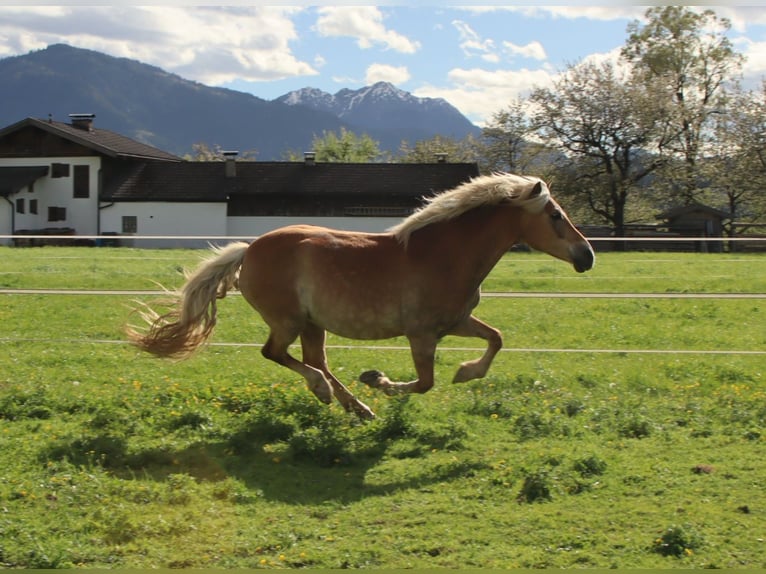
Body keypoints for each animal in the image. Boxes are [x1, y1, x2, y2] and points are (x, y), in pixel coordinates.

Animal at [126, 173, 596, 420]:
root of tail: (250, 248)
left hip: (312, 323)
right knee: (279, 355)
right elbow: (424, 383)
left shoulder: (457, 322)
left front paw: (466, 372)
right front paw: (379, 380)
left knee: (314, 359)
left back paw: (355, 407)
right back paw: (330, 394)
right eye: (556, 215)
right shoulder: (422, 334)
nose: (587, 256)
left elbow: (496, 338)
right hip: (288, 320)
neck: (444, 254)